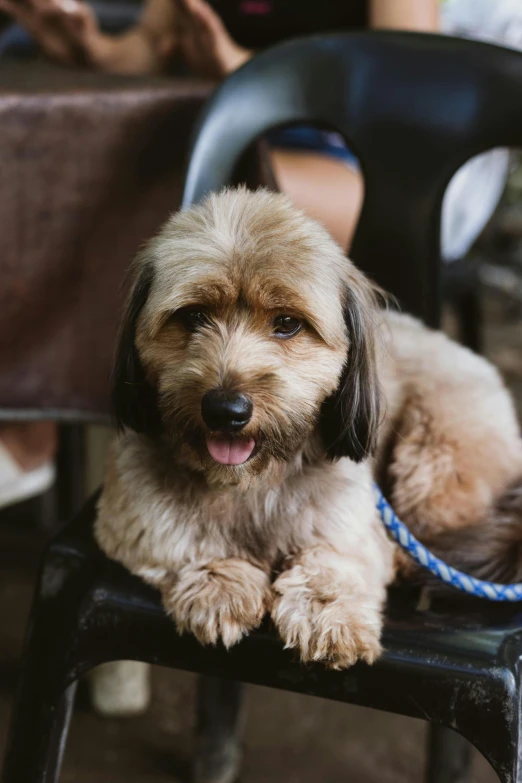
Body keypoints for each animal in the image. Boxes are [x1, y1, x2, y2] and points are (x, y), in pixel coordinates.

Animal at [95, 187, 520, 672]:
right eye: (194, 316)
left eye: (287, 324)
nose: (226, 409)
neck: (251, 482)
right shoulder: (129, 516)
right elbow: (177, 538)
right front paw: (219, 582)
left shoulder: (352, 522)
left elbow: (332, 561)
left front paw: (329, 615)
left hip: (435, 462)